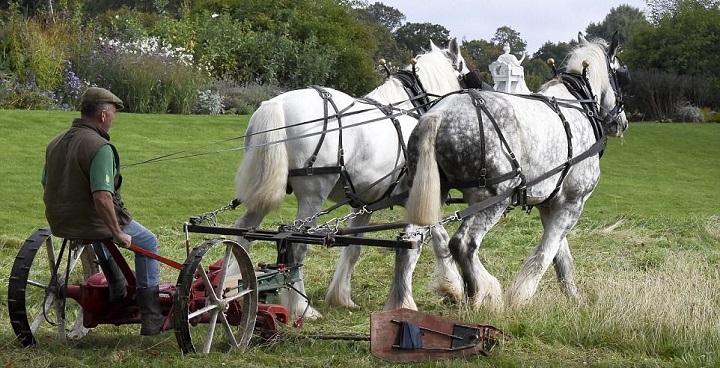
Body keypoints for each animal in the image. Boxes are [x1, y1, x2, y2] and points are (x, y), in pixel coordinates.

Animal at [233, 38, 476, 320]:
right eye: (465, 73)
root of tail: (277, 105)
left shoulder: (365, 204)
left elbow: (354, 248)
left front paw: (341, 297)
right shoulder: (418, 197)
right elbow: (434, 239)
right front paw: (451, 287)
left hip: (264, 192)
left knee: (243, 232)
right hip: (313, 197)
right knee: (295, 246)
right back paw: (303, 308)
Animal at [404, 33, 632, 312]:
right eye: (620, 74)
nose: (621, 122)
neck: (579, 103)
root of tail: (439, 113)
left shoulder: (551, 204)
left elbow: (562, 257)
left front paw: (574, 299)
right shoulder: (573, 202)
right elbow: (546, 253)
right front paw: (522, 296)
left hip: (428, 193)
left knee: (410, 242)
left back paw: (405, 302)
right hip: (493, 200)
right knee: (464, 244)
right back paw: (480, 295)